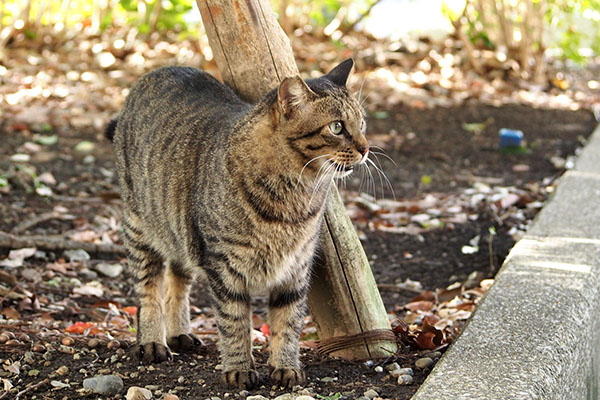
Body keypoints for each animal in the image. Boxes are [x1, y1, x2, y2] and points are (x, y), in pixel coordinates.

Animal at [108, 58, 370, 388]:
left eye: (362, 123)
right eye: (337, 127)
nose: (366, 148)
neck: (296, 194)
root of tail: (159, 69)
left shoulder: (295, 270)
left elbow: (288, 323)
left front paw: (285, 367)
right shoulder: (224, 268)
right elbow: (234, 322)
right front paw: (239, 368)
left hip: (181, 233)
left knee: (178, 279)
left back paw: (180, 332)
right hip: (140, 228)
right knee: (149, 290)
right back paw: (152, 341)